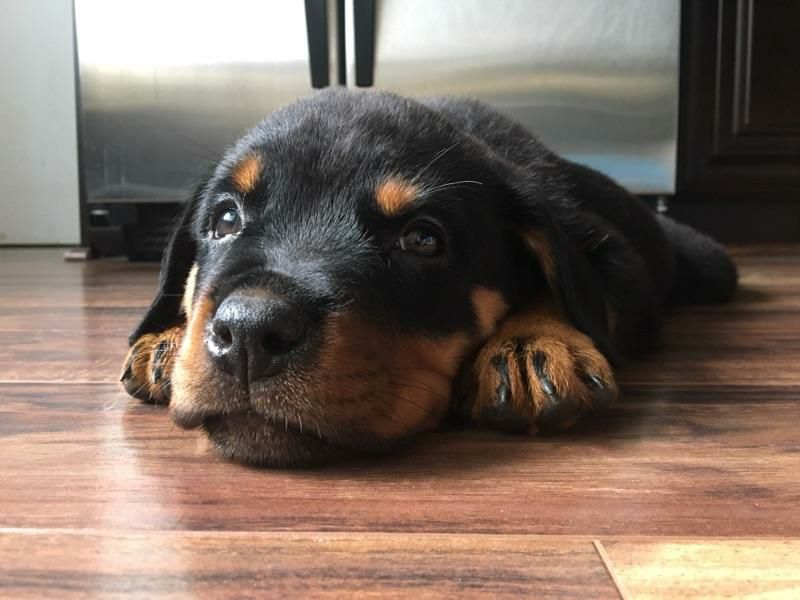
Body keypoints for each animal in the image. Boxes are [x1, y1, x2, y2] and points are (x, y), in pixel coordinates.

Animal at [120, 89, 736, 466]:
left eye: (422, 240)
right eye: (226, 220)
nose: (250, 332)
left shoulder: (613, 259)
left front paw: (534, 343)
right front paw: (166, 341)